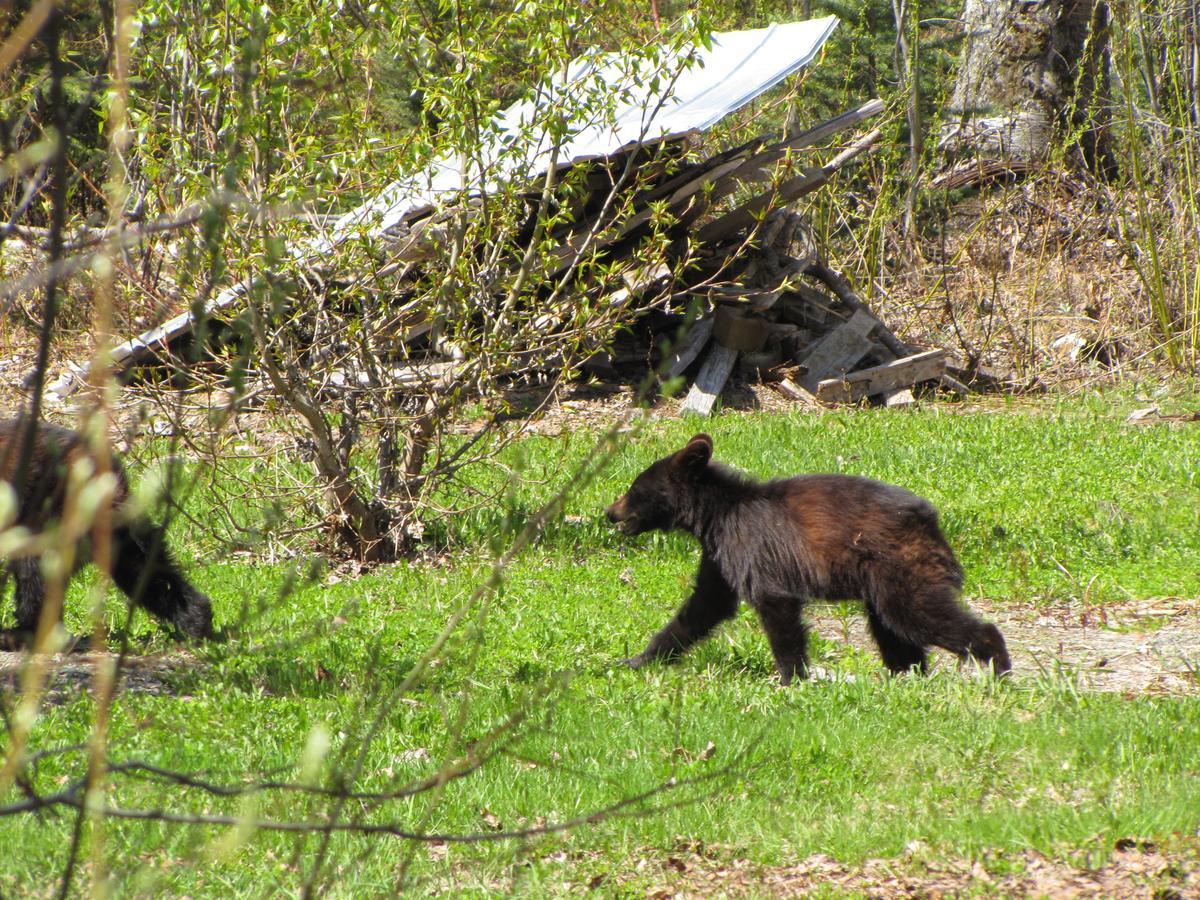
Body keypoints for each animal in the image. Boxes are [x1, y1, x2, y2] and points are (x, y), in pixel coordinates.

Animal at [604, 434, 1008, 681]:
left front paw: (791, 678)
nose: (609, 512)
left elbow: (775, 605)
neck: (716, 514)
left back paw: (998, 665)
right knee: (891, 628)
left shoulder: (750, 544)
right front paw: (638, 659)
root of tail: (932, 522)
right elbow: (702, 607)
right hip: (882, 581)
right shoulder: (720, 554)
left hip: (900, 566)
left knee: (917, 614)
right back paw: (907, 675)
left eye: (634, 489)